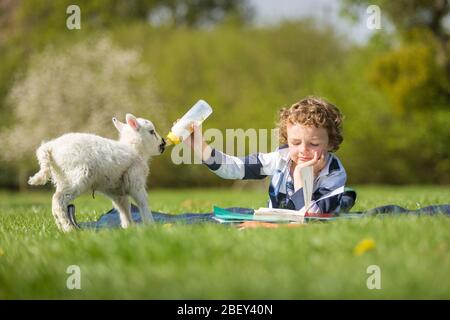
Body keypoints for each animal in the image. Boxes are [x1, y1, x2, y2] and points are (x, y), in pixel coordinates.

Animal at [28, 114, 166, 231]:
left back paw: (61, 227)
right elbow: (143, 203)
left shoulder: (117, 192)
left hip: (62, 177)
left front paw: (128, 228)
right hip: (76, 176)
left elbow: (124, 209)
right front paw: (151, 226)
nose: (163, 142)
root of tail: (50, 147)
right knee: (58, 199)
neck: (136, 149)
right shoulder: (135, 180)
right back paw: (68, 228)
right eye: (152, 131)